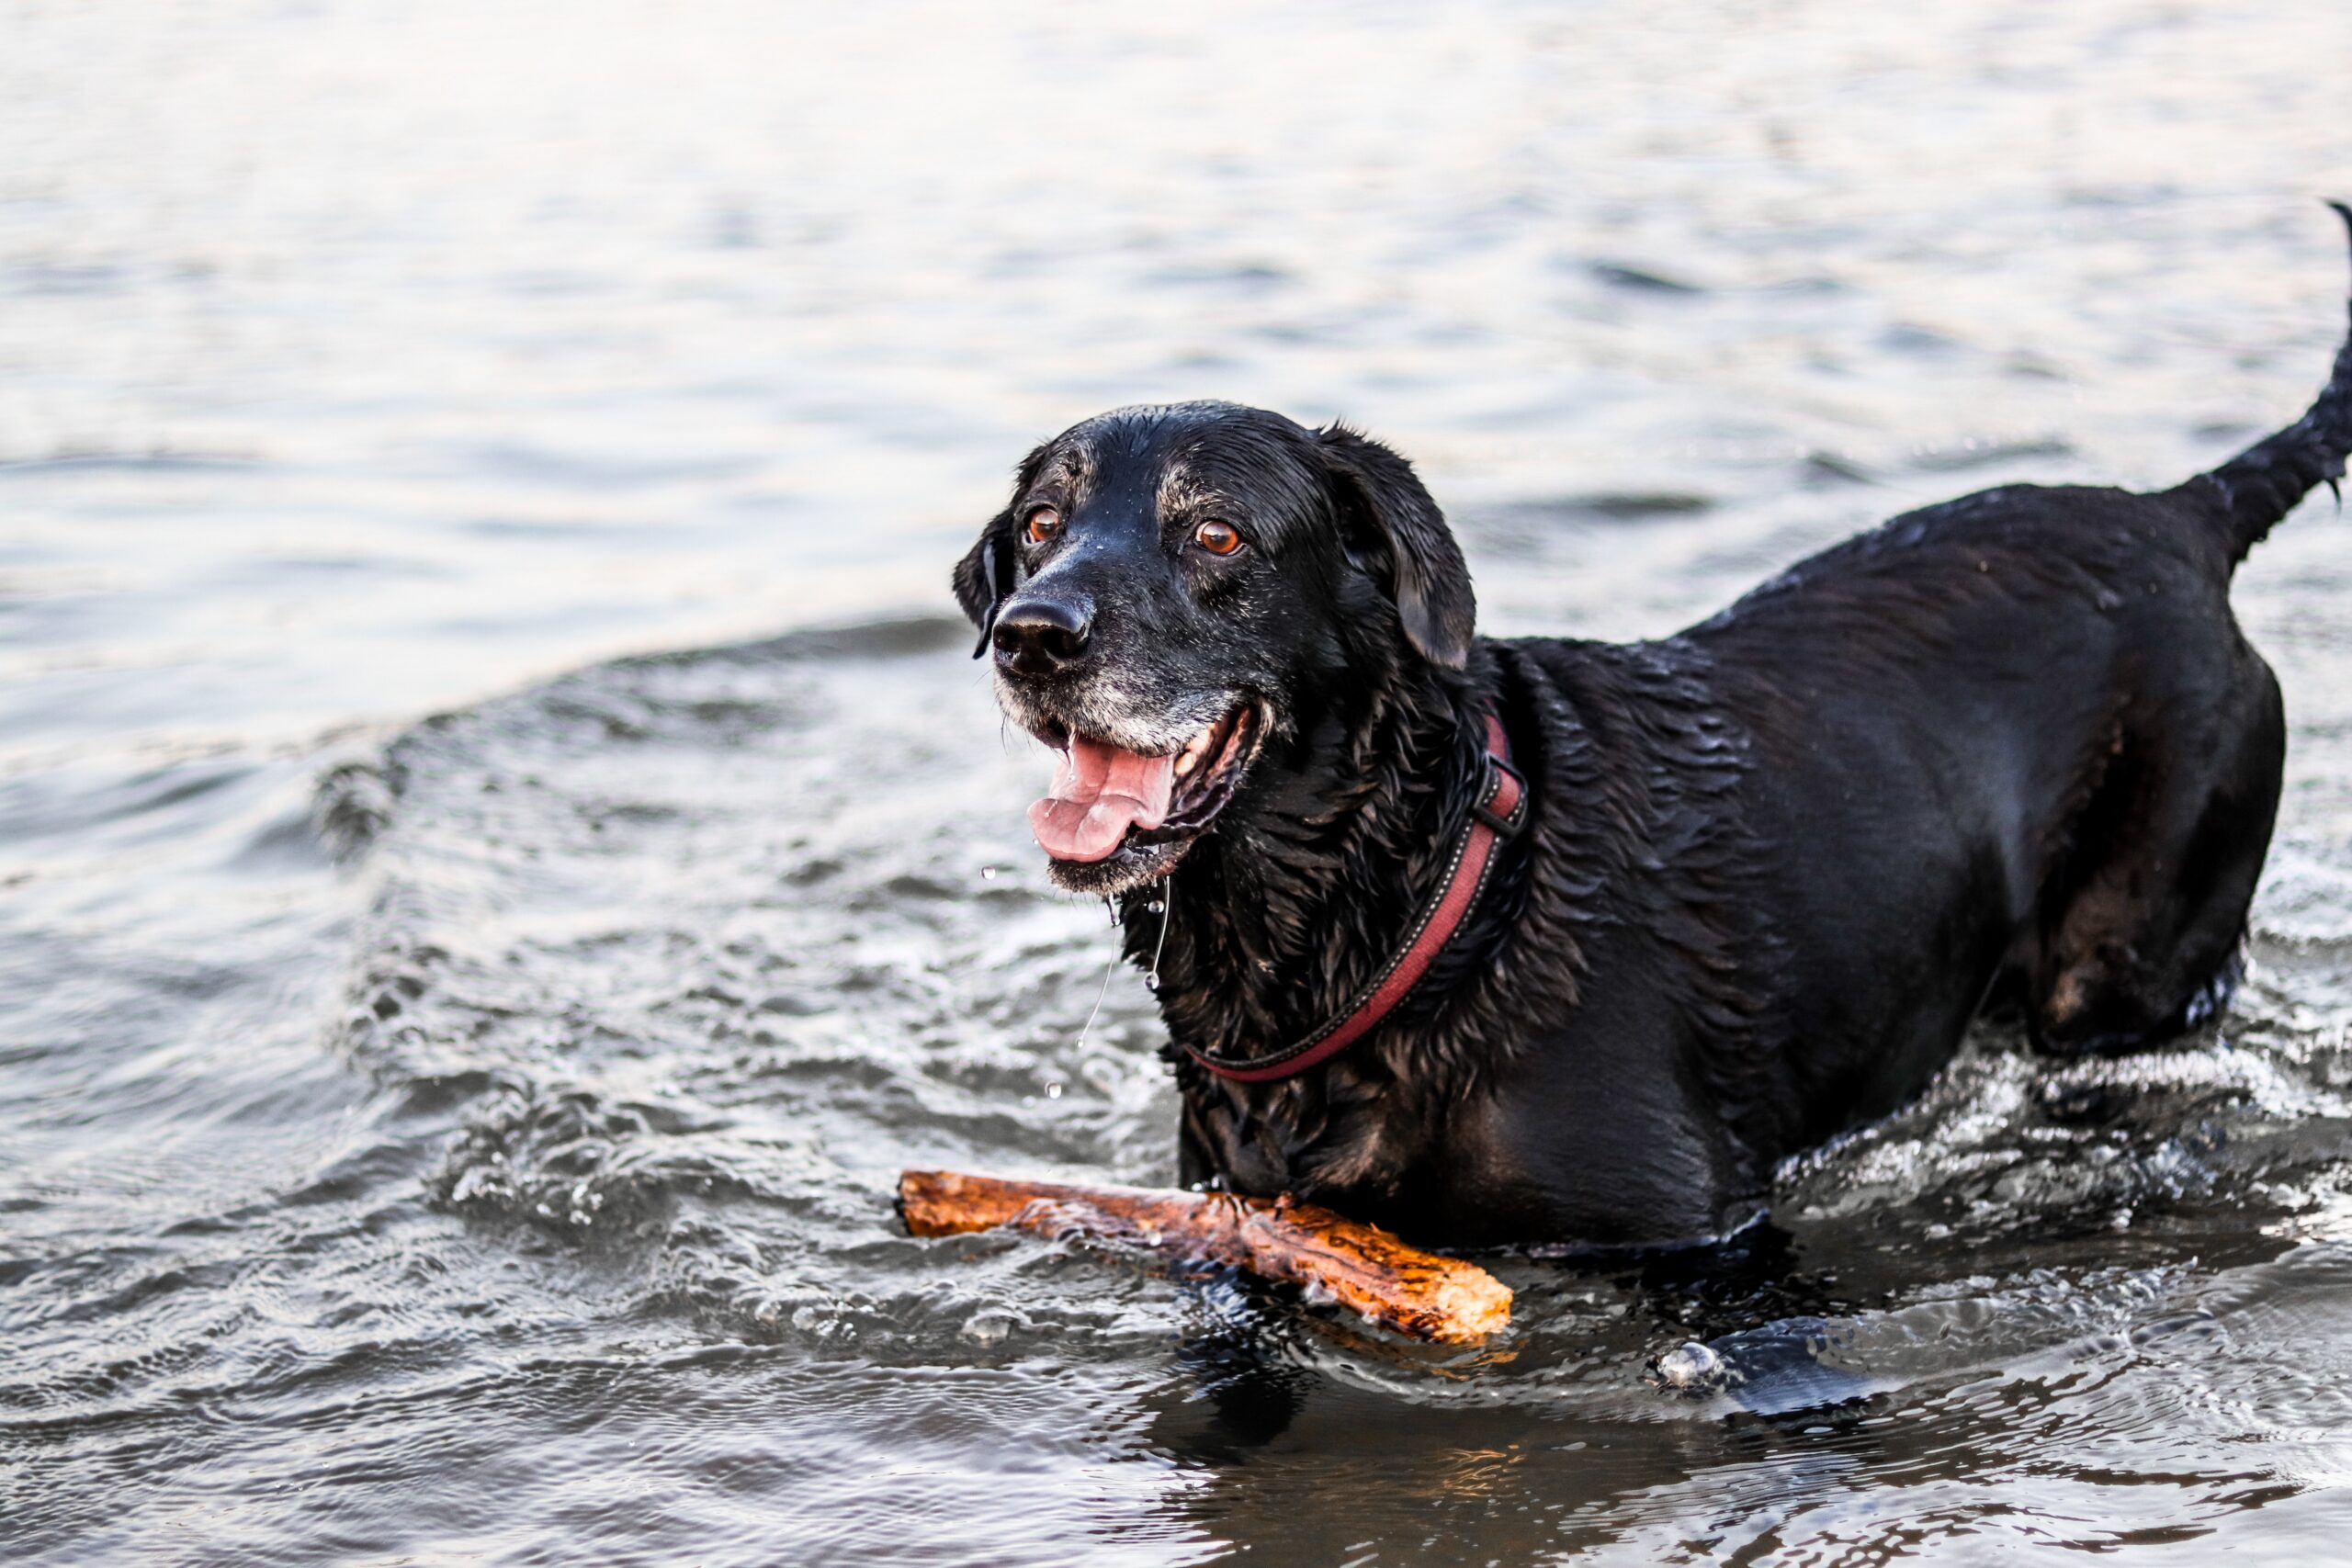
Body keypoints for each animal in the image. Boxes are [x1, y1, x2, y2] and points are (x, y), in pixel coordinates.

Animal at [945, 215, 2342, 1259]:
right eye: (1039, 527)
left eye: (1217, 533)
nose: (1031, 635)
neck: (1413, 898)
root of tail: (2183, 516)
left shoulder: (1702, 1233)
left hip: (2129, 959)